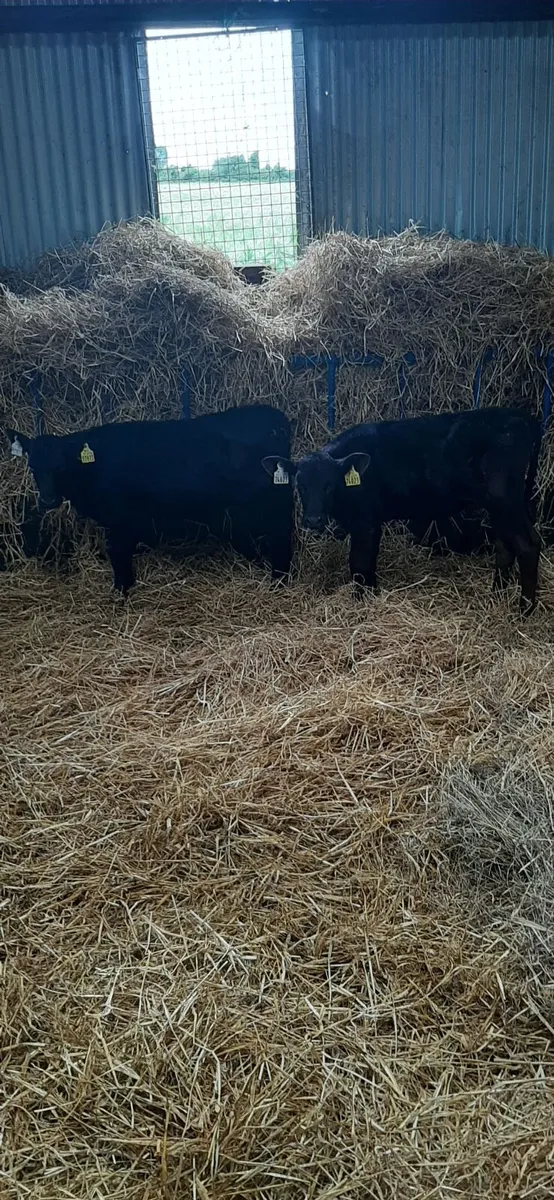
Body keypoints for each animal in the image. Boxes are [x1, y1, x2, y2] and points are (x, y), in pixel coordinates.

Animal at [5, 404, 293, 594]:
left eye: (61, 466)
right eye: (32, 466)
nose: (48, 500)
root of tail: (274, 416)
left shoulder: (120, 517)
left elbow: (117, 550)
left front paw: (121, 589)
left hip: (270, 501)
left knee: (281, 533)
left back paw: (279, 578)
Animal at [262, 408, 541, 613]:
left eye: (330, 484)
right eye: (299, 484)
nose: (314, 519)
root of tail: (520, 418)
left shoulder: (365, 520)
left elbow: (359, 562)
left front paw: (359, 602)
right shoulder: (372, 523)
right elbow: (369, 562)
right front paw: (372, 594)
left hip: (506, 499)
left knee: (527, 544)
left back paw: (524, 610)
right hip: (498, 506)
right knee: (504, 546)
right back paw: (496, 596)